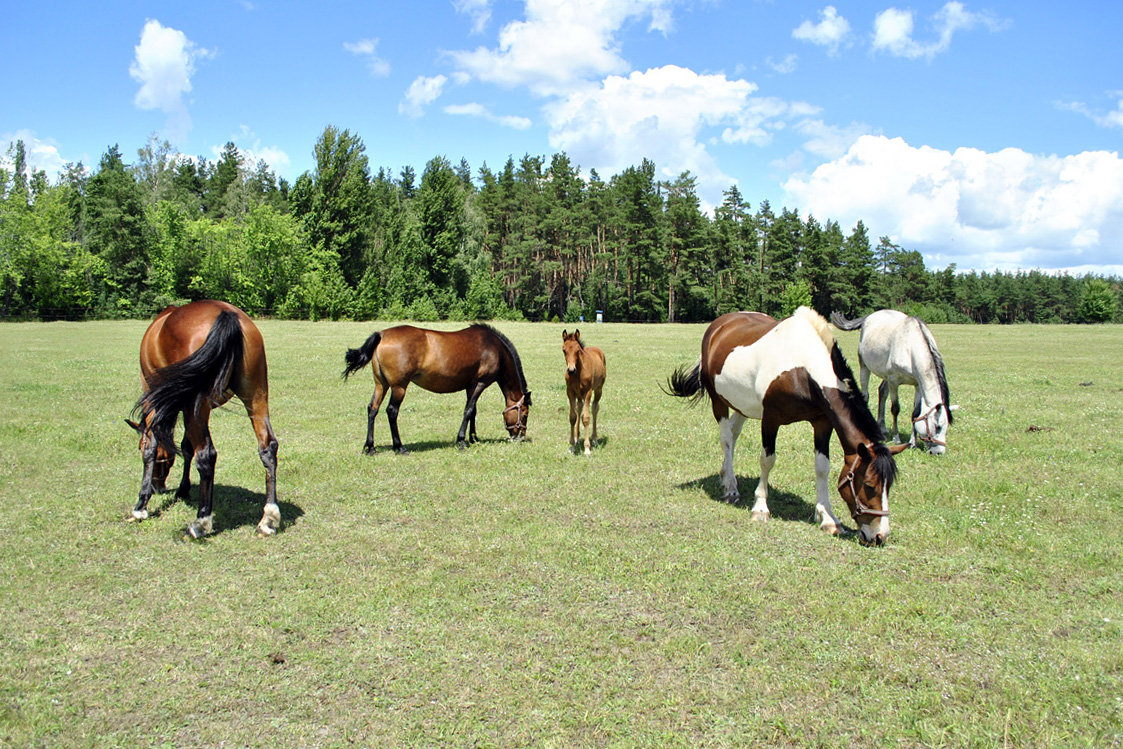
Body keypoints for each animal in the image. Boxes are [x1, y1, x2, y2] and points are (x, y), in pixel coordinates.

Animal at [123, 298, 278, 539]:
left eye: (138, 447)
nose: (159, 487)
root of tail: (226, 314)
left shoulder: (154, 401)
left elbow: (152, 447)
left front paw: (141, 505)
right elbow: (186, 447)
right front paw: (182, 489)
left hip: (195, 405)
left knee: (206, 455)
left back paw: (201, 521)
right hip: (256, 396)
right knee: (267, 447)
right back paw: (269, 517)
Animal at [341, 321, 530, 451]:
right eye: (525, 414)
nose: (520, 436)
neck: (494, 348)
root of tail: (382, 334)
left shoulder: (471, 386)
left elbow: (473, 412)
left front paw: (474, 438)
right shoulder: (479, 383)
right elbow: (468, 411)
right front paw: (462, 440)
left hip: (381, 384)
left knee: (373, 408)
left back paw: (370, 447)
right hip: (399, 387)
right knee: (392, 411)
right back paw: (399, 446)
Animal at [561, 330, 606, 458]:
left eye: (578, 350)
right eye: (564, 350)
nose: (571, 370)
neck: (578, 373)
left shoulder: (587, 392)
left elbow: (586, 418)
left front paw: (587, 448)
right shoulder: (570, 392)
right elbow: (573, 417)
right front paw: (572, 445)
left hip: (598, 390)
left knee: (595, 408)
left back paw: (594, 438)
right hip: (579, 395)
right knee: (579, 408)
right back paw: (577, 437)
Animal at [660, 307, 907, 547]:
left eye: (889, 486)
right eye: (869, 485)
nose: (879, 536)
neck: (802, 368)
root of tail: (718, 326)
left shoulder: (822, 422)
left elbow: (822, 467)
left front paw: (828, 517)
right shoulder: (771, 419)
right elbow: (767, 461)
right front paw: (760, 508)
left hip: (742, 405)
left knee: (733, 432)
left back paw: (724, 475)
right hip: (719, 402)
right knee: (726, 439)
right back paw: (730, 486)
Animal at [826, 309, 956, 453]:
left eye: (946, 427)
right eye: (938, 426)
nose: (939, 452)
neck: (910, 347)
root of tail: (869, 317)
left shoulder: (917, 385)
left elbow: (915, 413)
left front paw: (913, 442)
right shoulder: (894, 381)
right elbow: (895, 409)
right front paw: (896, 437)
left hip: (885, 376)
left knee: (882, 392)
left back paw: (882, 428)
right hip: (865, 367)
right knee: (866, 395)